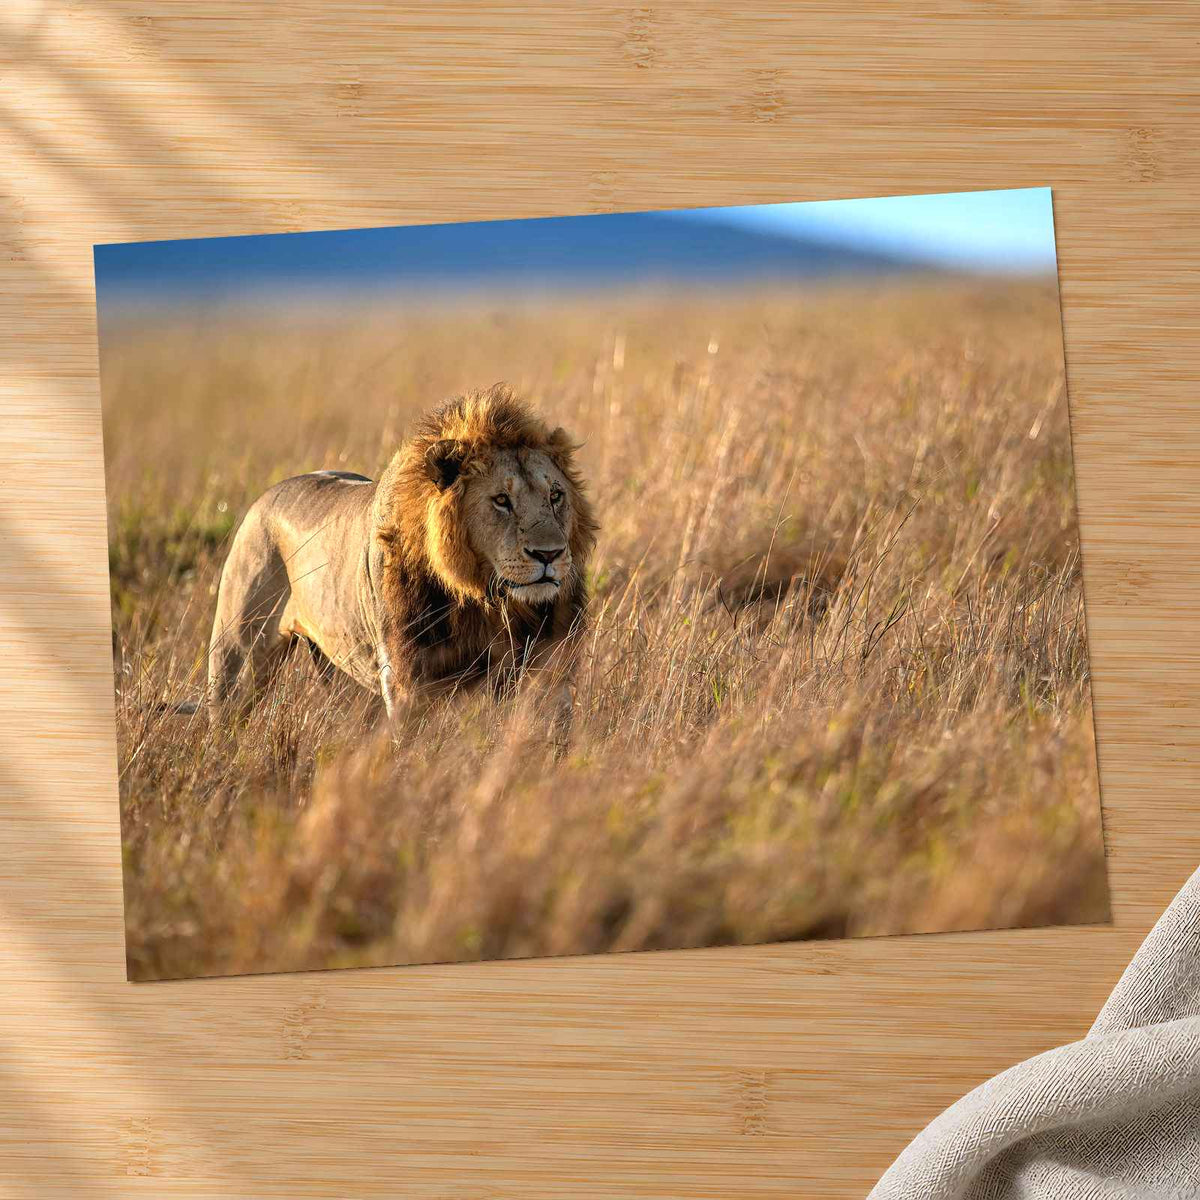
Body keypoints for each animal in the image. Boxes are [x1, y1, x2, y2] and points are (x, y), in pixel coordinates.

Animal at [205, 384, 598, 737]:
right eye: (501, 500)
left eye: (556, 495)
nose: (549, 554)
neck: (485, 598)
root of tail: (262, 500)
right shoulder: (409, 684)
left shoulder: (551, 673)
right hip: (238, 658)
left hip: (346, 672)